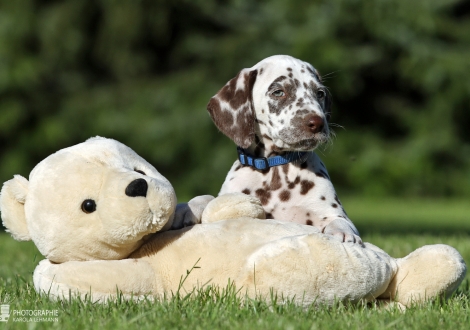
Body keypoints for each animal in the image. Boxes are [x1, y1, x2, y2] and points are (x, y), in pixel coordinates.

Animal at [204, 54, 362, 242]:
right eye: (279, 92)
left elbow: (340, 221)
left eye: (320, 93)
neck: (276, 169)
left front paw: (343, 234)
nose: (318, 123)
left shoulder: (332, 212)